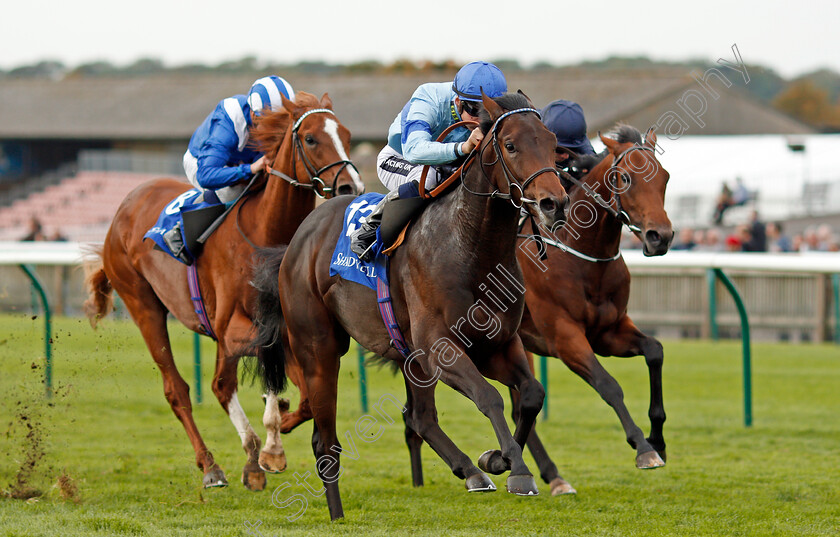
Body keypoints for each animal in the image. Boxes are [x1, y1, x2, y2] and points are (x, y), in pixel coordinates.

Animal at [83, 91, 368, 490]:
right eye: (311, 138)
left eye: (346, 134)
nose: (351, 187)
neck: (266, 234)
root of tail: (127, 202)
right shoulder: (231, 328)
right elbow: (228, 383)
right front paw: (263, 452)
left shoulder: (286, 327)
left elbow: (305, 399)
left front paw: (277, 433)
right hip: (143, 305)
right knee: (181, 389)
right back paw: (211, 466)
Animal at [246, 92, 568, 520]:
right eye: (511, 145)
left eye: (552, 143)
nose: (554, 204)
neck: (470, 247)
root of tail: (297, 240)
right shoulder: (440, 347)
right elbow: (489, 397)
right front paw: (517, 471)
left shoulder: (495, 344)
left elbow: (531, 394)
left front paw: (496, 459)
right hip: (319, 349)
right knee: (325, 441)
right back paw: (336, 513)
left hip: (408, 356)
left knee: (420, 417)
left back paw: (470, 470)